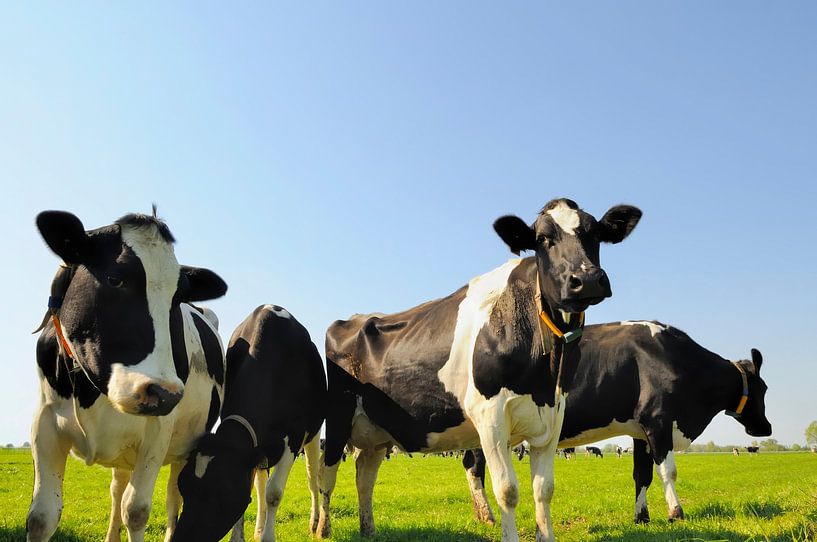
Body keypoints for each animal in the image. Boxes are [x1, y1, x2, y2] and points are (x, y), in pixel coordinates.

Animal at [27, 210, 228, 542]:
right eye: (115, 278)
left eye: (177, 298)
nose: (164, 393)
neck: (92, 392)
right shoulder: (45, 421)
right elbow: (42, 517)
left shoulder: (159, 429)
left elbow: (136, 511)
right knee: (118, 487)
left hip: (185, 446)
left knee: (173, 494)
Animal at [172, 304, 327, 542]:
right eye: (183, 485)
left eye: (222, 495)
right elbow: (256, 488)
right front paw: (240, 537)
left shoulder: (293, 436)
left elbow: (274, 493)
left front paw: (268, 537)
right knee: (261, 483)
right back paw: (259, 528)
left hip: (314, 434)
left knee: (312, 477)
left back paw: (315, 523)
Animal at [313, 198, 642, 542]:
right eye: (542, 239)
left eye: (596, 234)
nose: (586, 279)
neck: (544, 374)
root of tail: (353, 318)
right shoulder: (490, 416)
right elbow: (508, 490)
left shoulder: (553, 414)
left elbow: (544, 490)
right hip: (338, 417)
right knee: (327, 471)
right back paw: (323, 528)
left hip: (377, 430)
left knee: (365, 472)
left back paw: (368, 529)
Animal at [462, 321, 772, 526]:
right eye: (764, 388)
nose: (766, 428)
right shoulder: (659, 421)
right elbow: (668, 472)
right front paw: (676, 512)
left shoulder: (641, 432)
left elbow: (642, 476)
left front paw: (642, 517)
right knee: (475, 467)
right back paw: (487, 515)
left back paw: (480, 514)